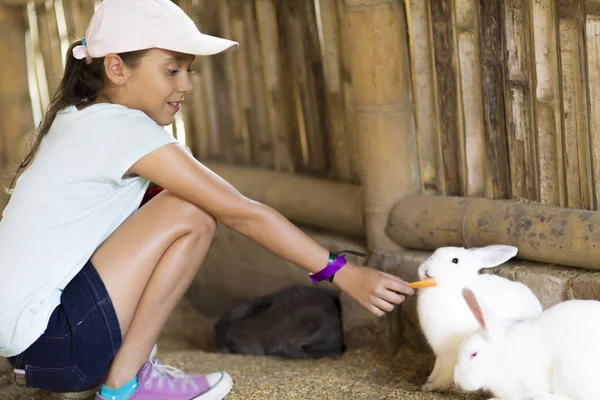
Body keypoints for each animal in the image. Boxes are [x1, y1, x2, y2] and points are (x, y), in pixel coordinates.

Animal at [418, 244, 544, 390]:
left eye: (455, 260)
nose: (425, 269)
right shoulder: (439, 353)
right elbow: (436, 368)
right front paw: (429, 380)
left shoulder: (449, 353)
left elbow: (445, 374)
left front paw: (431, 387)